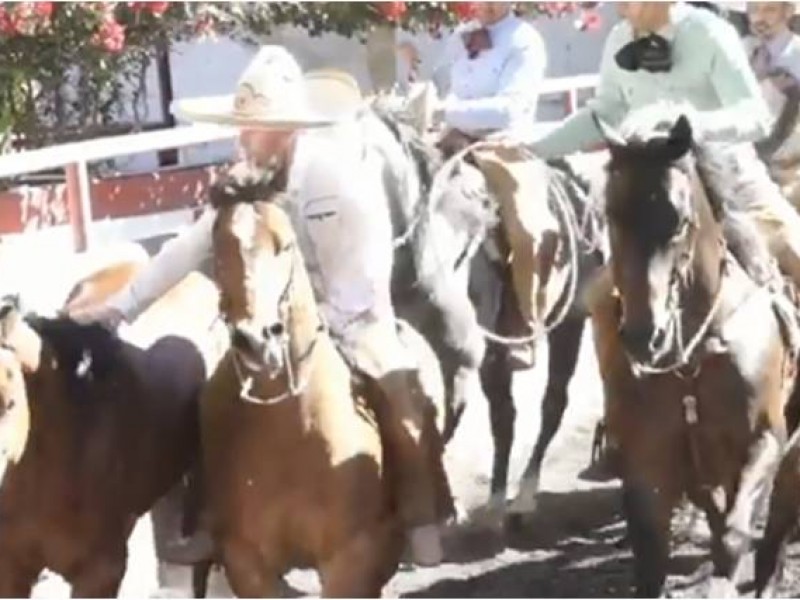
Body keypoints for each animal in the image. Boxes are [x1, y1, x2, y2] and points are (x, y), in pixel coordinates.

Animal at [592, 112, 792, 596]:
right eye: (612, 215)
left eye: (679, 220)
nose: (644, 335)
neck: (692, 361)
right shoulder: (648, 462)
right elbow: (650, 558)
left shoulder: (765, 438)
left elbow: (734, 537)